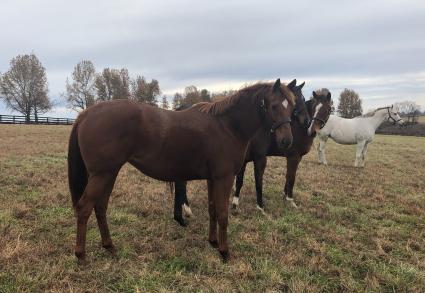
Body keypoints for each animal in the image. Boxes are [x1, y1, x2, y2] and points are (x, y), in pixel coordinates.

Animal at [68, 78, 294, 260]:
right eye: (274, 105)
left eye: (292, 105)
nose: (287, 140)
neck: (227, 125)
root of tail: (86, 113)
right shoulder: (224, 177)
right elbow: (222, 213)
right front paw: (224, 251)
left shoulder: (212, 178)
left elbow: (212, 209)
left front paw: (213, 242)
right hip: (102, 174)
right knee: (85, 207)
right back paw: (81, 255)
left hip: (109, 173)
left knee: (100, 207)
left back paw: (109, 247)